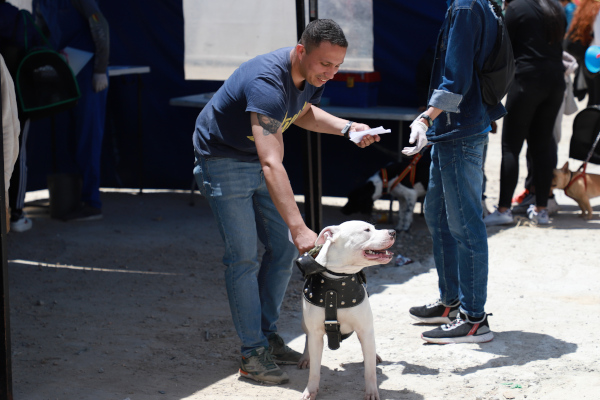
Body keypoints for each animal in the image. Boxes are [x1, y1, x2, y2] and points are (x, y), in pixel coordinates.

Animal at [294, 220, 396, 400]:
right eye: (367, 230)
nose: (393, 232)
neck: (337, 280)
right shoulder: (315, 333)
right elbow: (315, 370)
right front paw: (310, 390)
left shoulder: (365, 329)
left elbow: (370, 370)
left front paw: (372, 391)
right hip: (304, 324)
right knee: (307, 338)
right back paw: (305, 357)